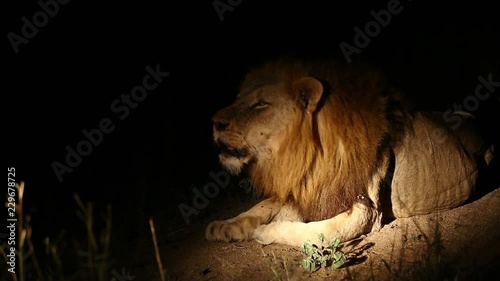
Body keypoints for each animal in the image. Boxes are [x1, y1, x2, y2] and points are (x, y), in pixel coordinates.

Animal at [204, 58, 496, 246]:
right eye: (239, 100)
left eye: (261, 105)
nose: (214, 122)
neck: (312, 155)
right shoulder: (309, 188)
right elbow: (262, 206)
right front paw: (225, 225)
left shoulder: (365, 210)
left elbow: (315, 233)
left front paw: (265, 232)